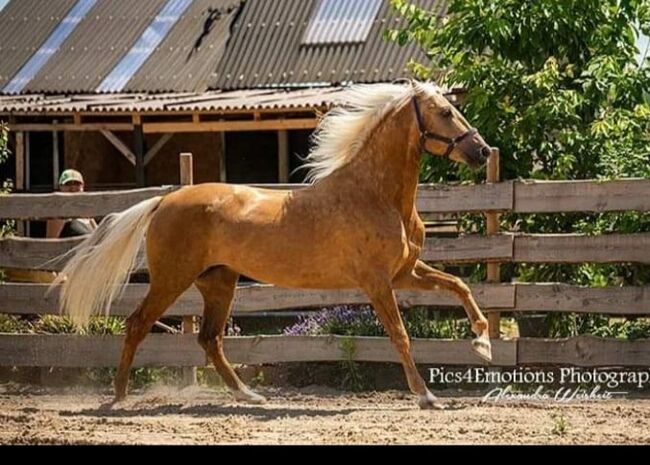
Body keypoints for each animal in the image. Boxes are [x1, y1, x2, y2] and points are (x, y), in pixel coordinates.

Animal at [55, 81, 492, 408]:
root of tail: (165, 200)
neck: (374, 195)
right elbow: (400, 335)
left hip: (218, 282)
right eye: (445, 112)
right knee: (138, 324)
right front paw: (426, 396)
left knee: (209, 338)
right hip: (171, 279)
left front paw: (483, 343)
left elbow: (460, 287)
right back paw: (118, 397)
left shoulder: (405, 273)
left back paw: (249, 395)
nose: (483, 151)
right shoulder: (378, 282)